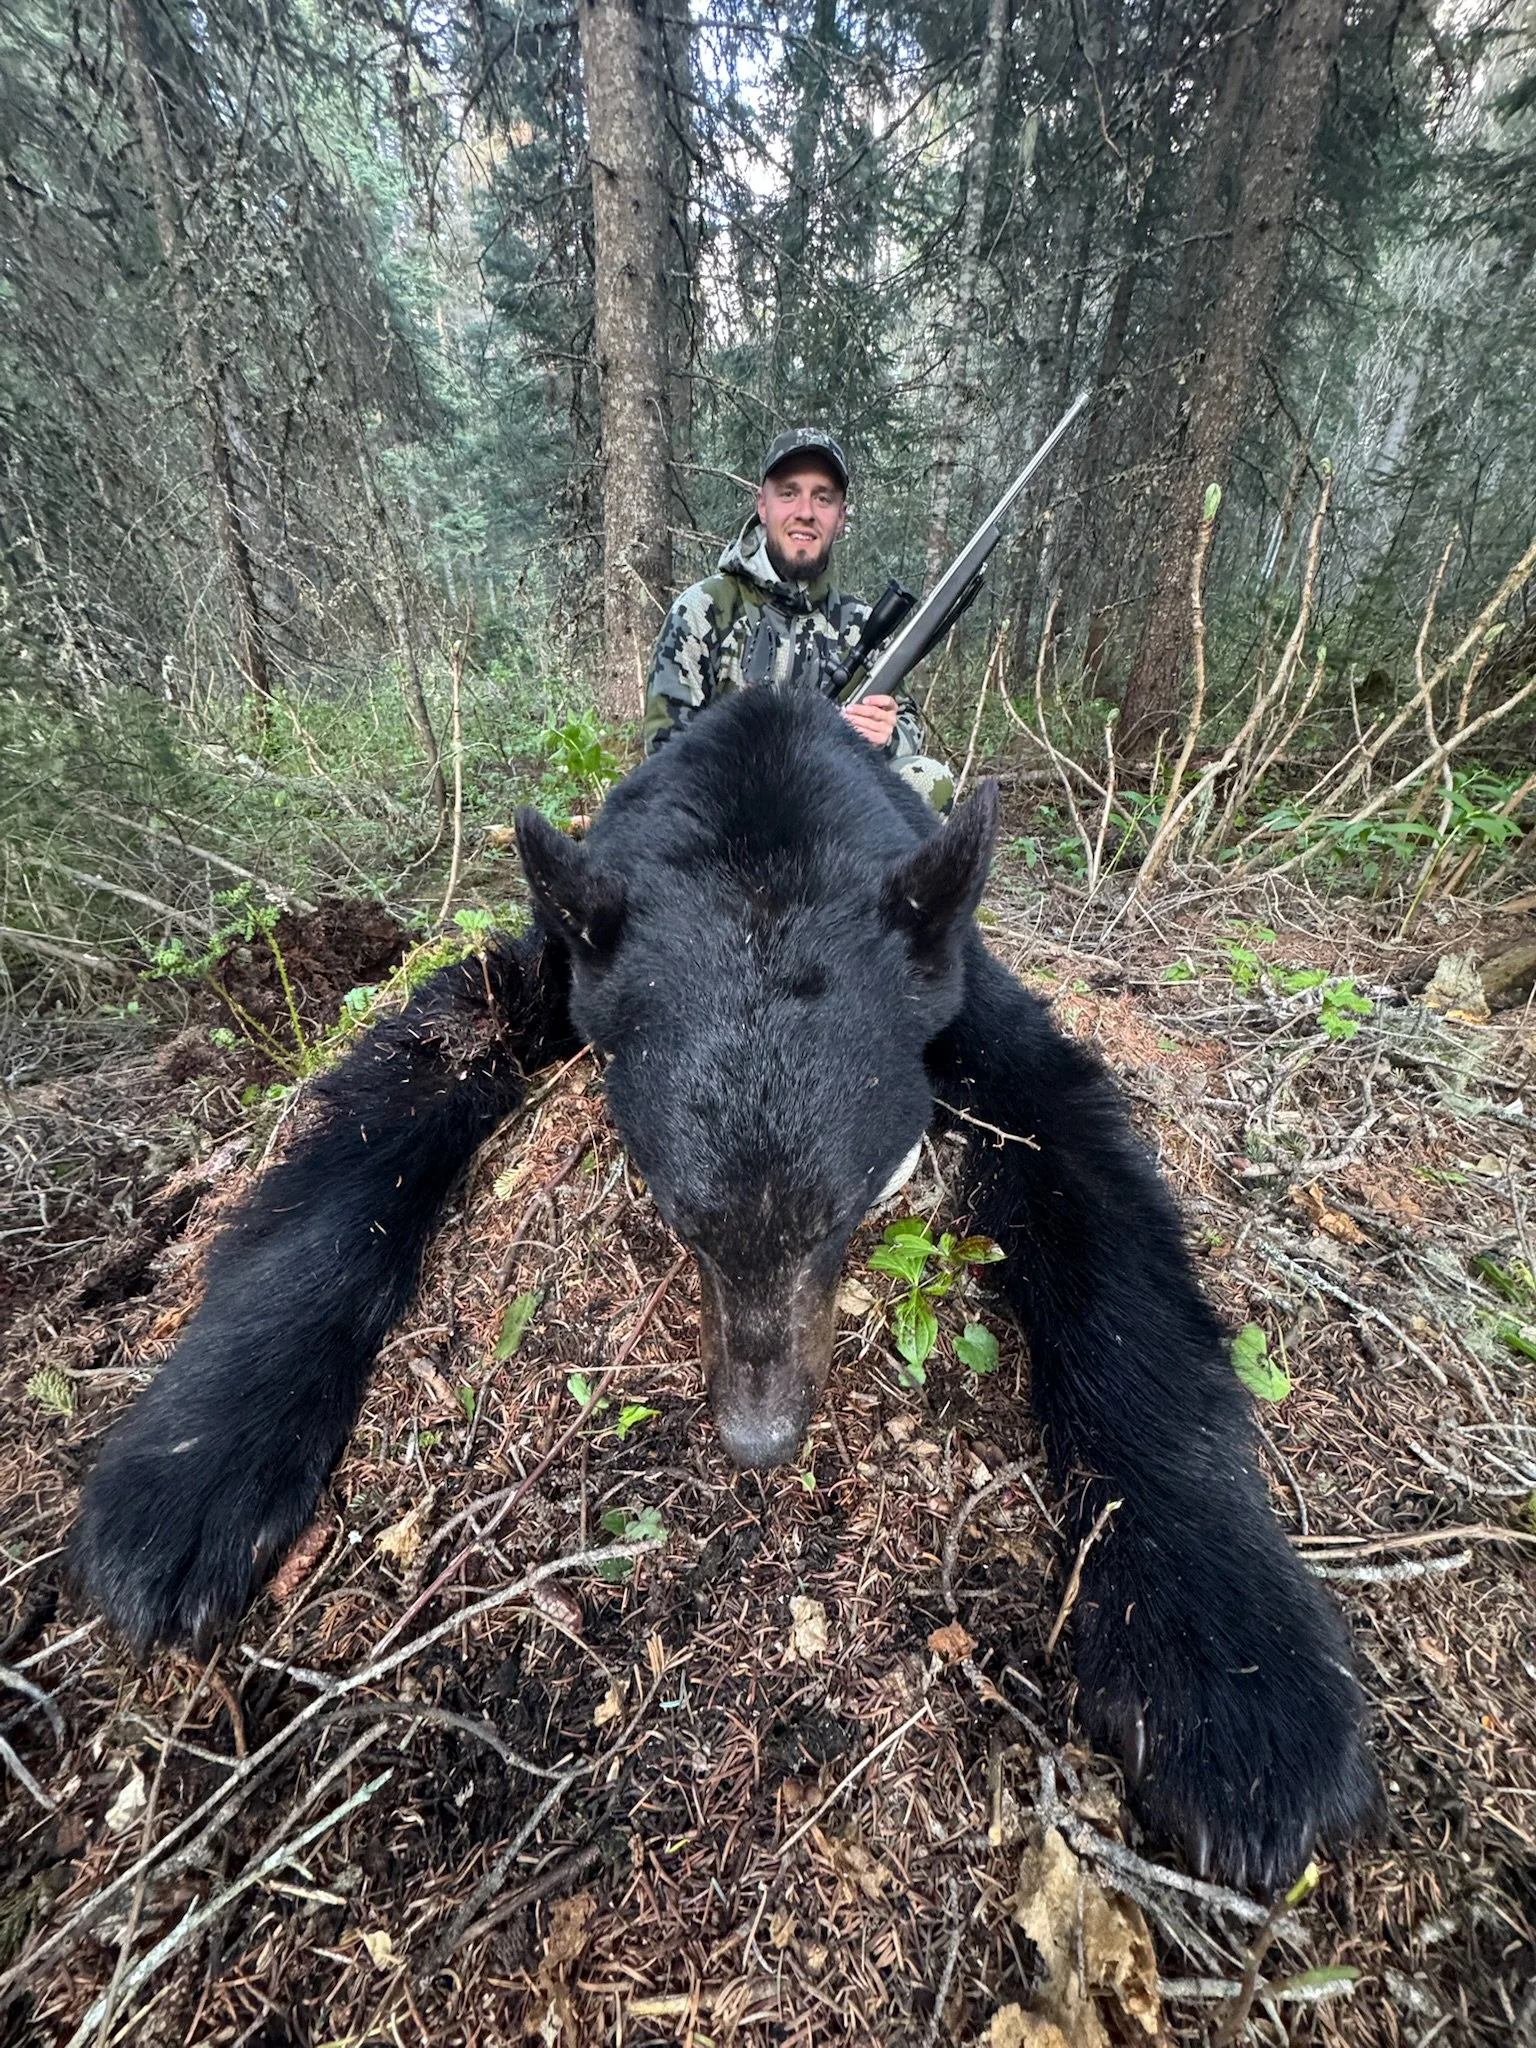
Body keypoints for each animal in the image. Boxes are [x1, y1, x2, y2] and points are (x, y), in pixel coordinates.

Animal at [70, 683, 1382, 1891]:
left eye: (848, 1212)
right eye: (679, 1217)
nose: (760, 1441)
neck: (764, 829)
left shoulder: (963, 998)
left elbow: (1101, 1217)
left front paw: (1236, 1685)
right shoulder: (567, 957)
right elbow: (395, 1092)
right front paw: (189, 1473)